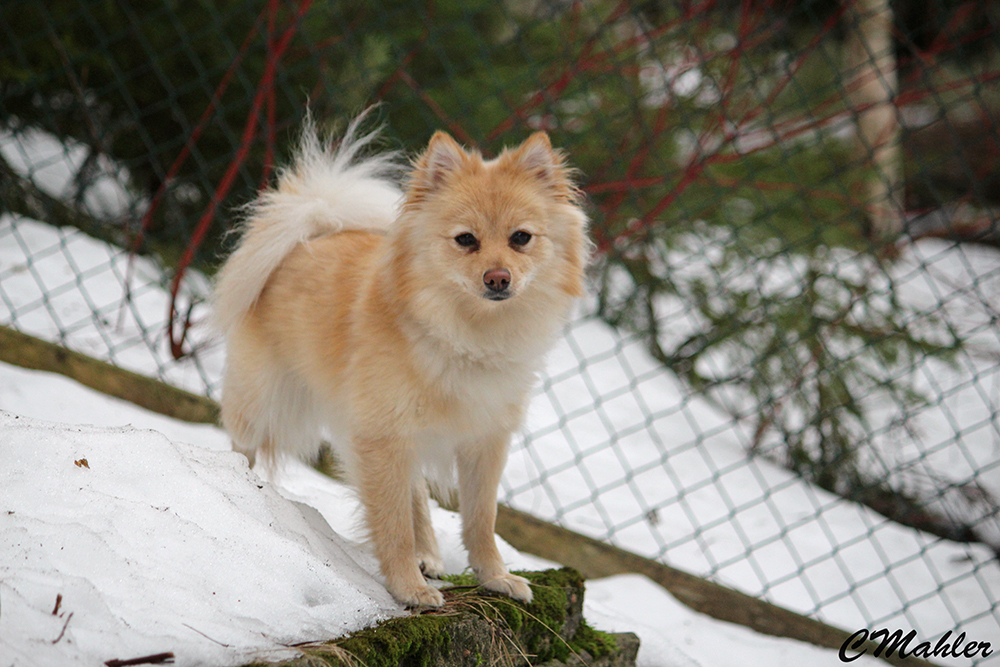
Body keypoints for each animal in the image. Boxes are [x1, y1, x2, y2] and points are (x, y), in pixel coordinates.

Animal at [212, 114, 589, 607]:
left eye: (521, 238)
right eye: (466, 240)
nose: (498, 278)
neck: (466, 334)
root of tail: (313, 229)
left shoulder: (482, 442)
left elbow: (480, 519)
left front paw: (493, 576)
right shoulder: (383, 437)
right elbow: (392, 524)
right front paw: (407, 587)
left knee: (417, 497)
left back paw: (428, 554)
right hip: (261, 400)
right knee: (246, 445)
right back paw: (239, 485)